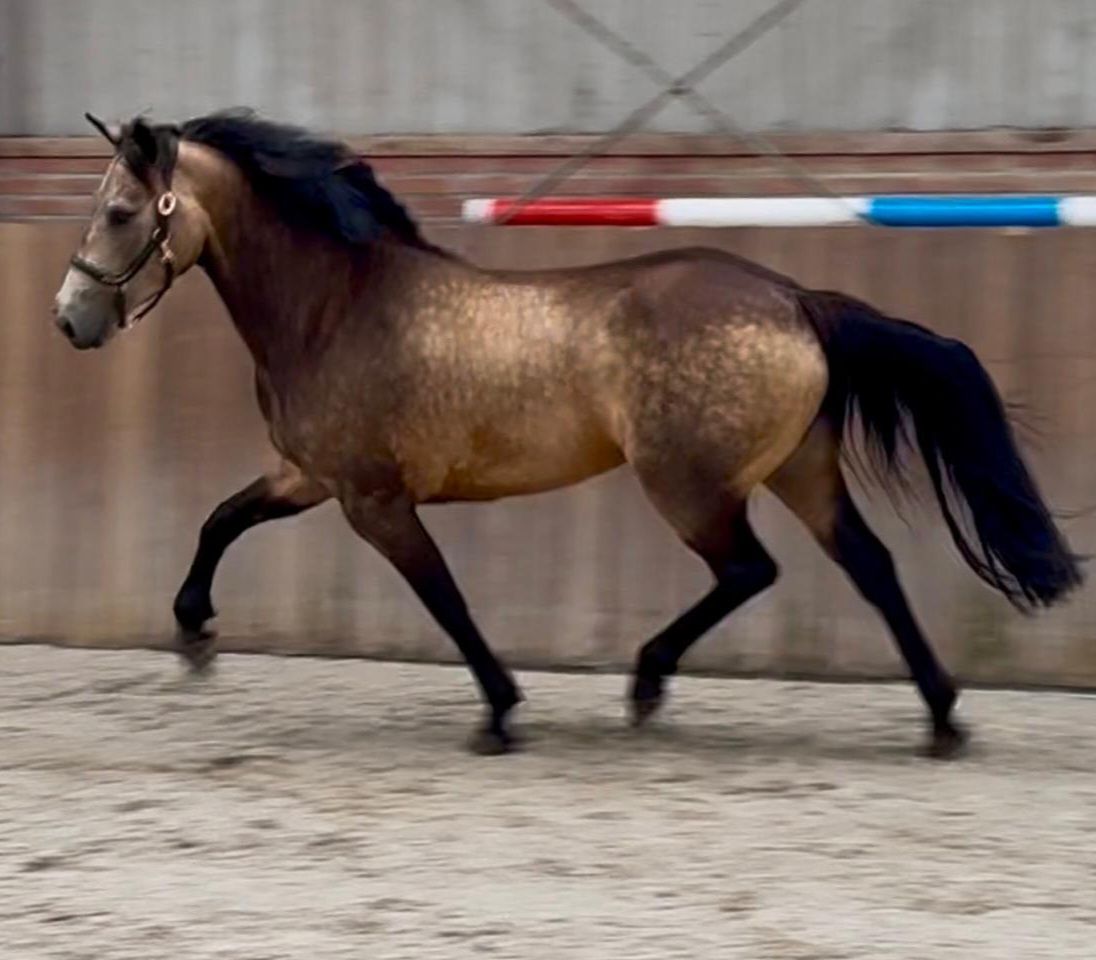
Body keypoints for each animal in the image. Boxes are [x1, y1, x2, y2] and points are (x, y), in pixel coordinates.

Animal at [53, 109, 1082, 757]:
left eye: (120, 212)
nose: (70, 320)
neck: (335, 307)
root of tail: (796, 299)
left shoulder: (372, 500)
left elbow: (444, 599)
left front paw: (501, 714)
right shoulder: (309, 477)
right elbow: (221, 519)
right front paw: (194, 633)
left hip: (691, 487)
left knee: (751, 570)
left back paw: (649, 683)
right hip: (801, 470)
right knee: (867, 565)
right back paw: (942, 720)